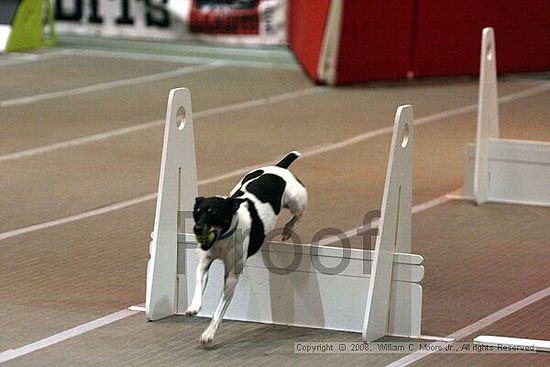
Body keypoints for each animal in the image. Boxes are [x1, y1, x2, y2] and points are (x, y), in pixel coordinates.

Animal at [187, 152, 308, 344]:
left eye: (214, 213)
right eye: (196, 213)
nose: (197, 229)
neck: (223, 237)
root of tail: (279, 167)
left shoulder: (231, 278)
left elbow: (219, 312)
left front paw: (209, 333)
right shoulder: (204, 263)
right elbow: (199, 284)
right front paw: (194, 306)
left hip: (297, 200)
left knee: (298, 214)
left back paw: (288, 228)